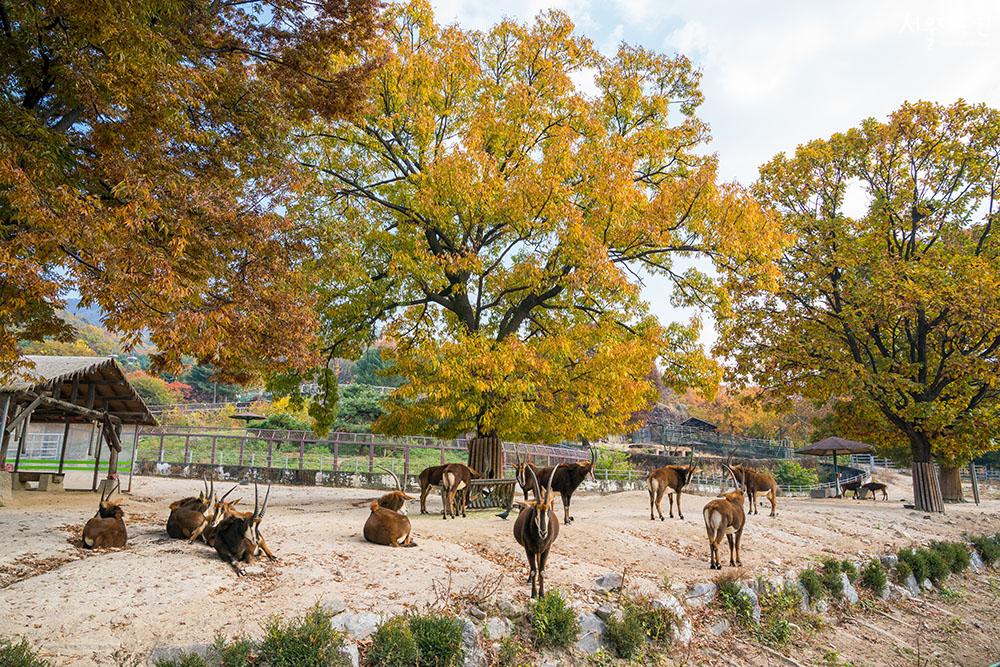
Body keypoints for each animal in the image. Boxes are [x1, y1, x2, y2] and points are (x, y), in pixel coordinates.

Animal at [516, 464, 564, 600]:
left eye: (548, 511)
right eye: (535, 510)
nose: (543, 532)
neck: (539, 539)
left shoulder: (546, 548)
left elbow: (541, 570)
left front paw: (542, 594)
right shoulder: (529, 549)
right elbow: (533, 570)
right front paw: (533, 594)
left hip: (540, 550)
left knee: (538, 565)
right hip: (534, 550)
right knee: (534, 567)